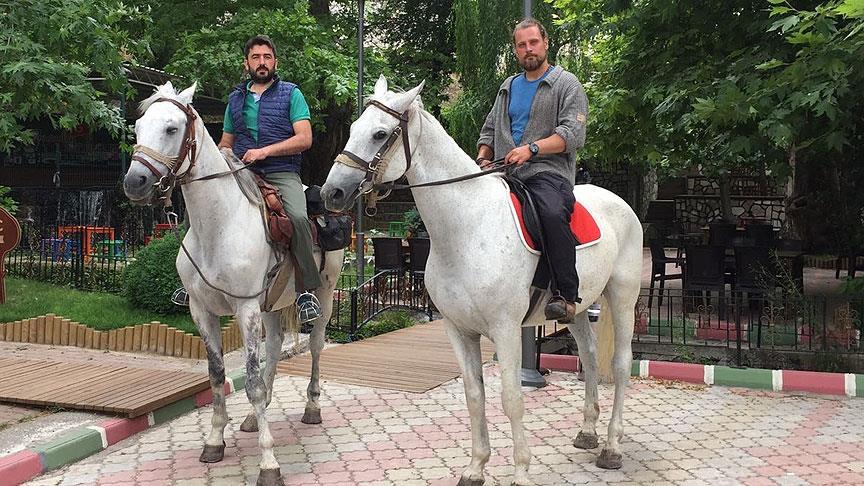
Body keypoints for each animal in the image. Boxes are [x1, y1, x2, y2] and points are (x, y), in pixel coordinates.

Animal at [122, 83, 344, 486]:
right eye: (139, 126)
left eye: (172, 128)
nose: (135, 182)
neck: (219, 226)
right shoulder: (203, 311)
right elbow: (217, 376)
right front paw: (214, 440)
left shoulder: (245, 308)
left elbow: (251, 381)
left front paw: (268, 463)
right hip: (271, 306)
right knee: (274, 347)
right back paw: (257, 416)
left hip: (323, 293)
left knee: (316, 346)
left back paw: (311, 407)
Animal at [324, 76, 640, 486]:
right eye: (352, 129)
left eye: (380, 134)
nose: (332, 192)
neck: (467, 226)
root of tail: (619, 202)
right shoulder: (458, 330)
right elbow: (475, 396)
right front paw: (475, 467)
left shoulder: (505, 329)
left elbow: (511, 398)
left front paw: (521, 471)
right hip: (578, 307)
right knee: (587, 354)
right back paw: (587, 432)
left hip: (622, 297)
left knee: (620, 364)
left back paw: (612, 447)